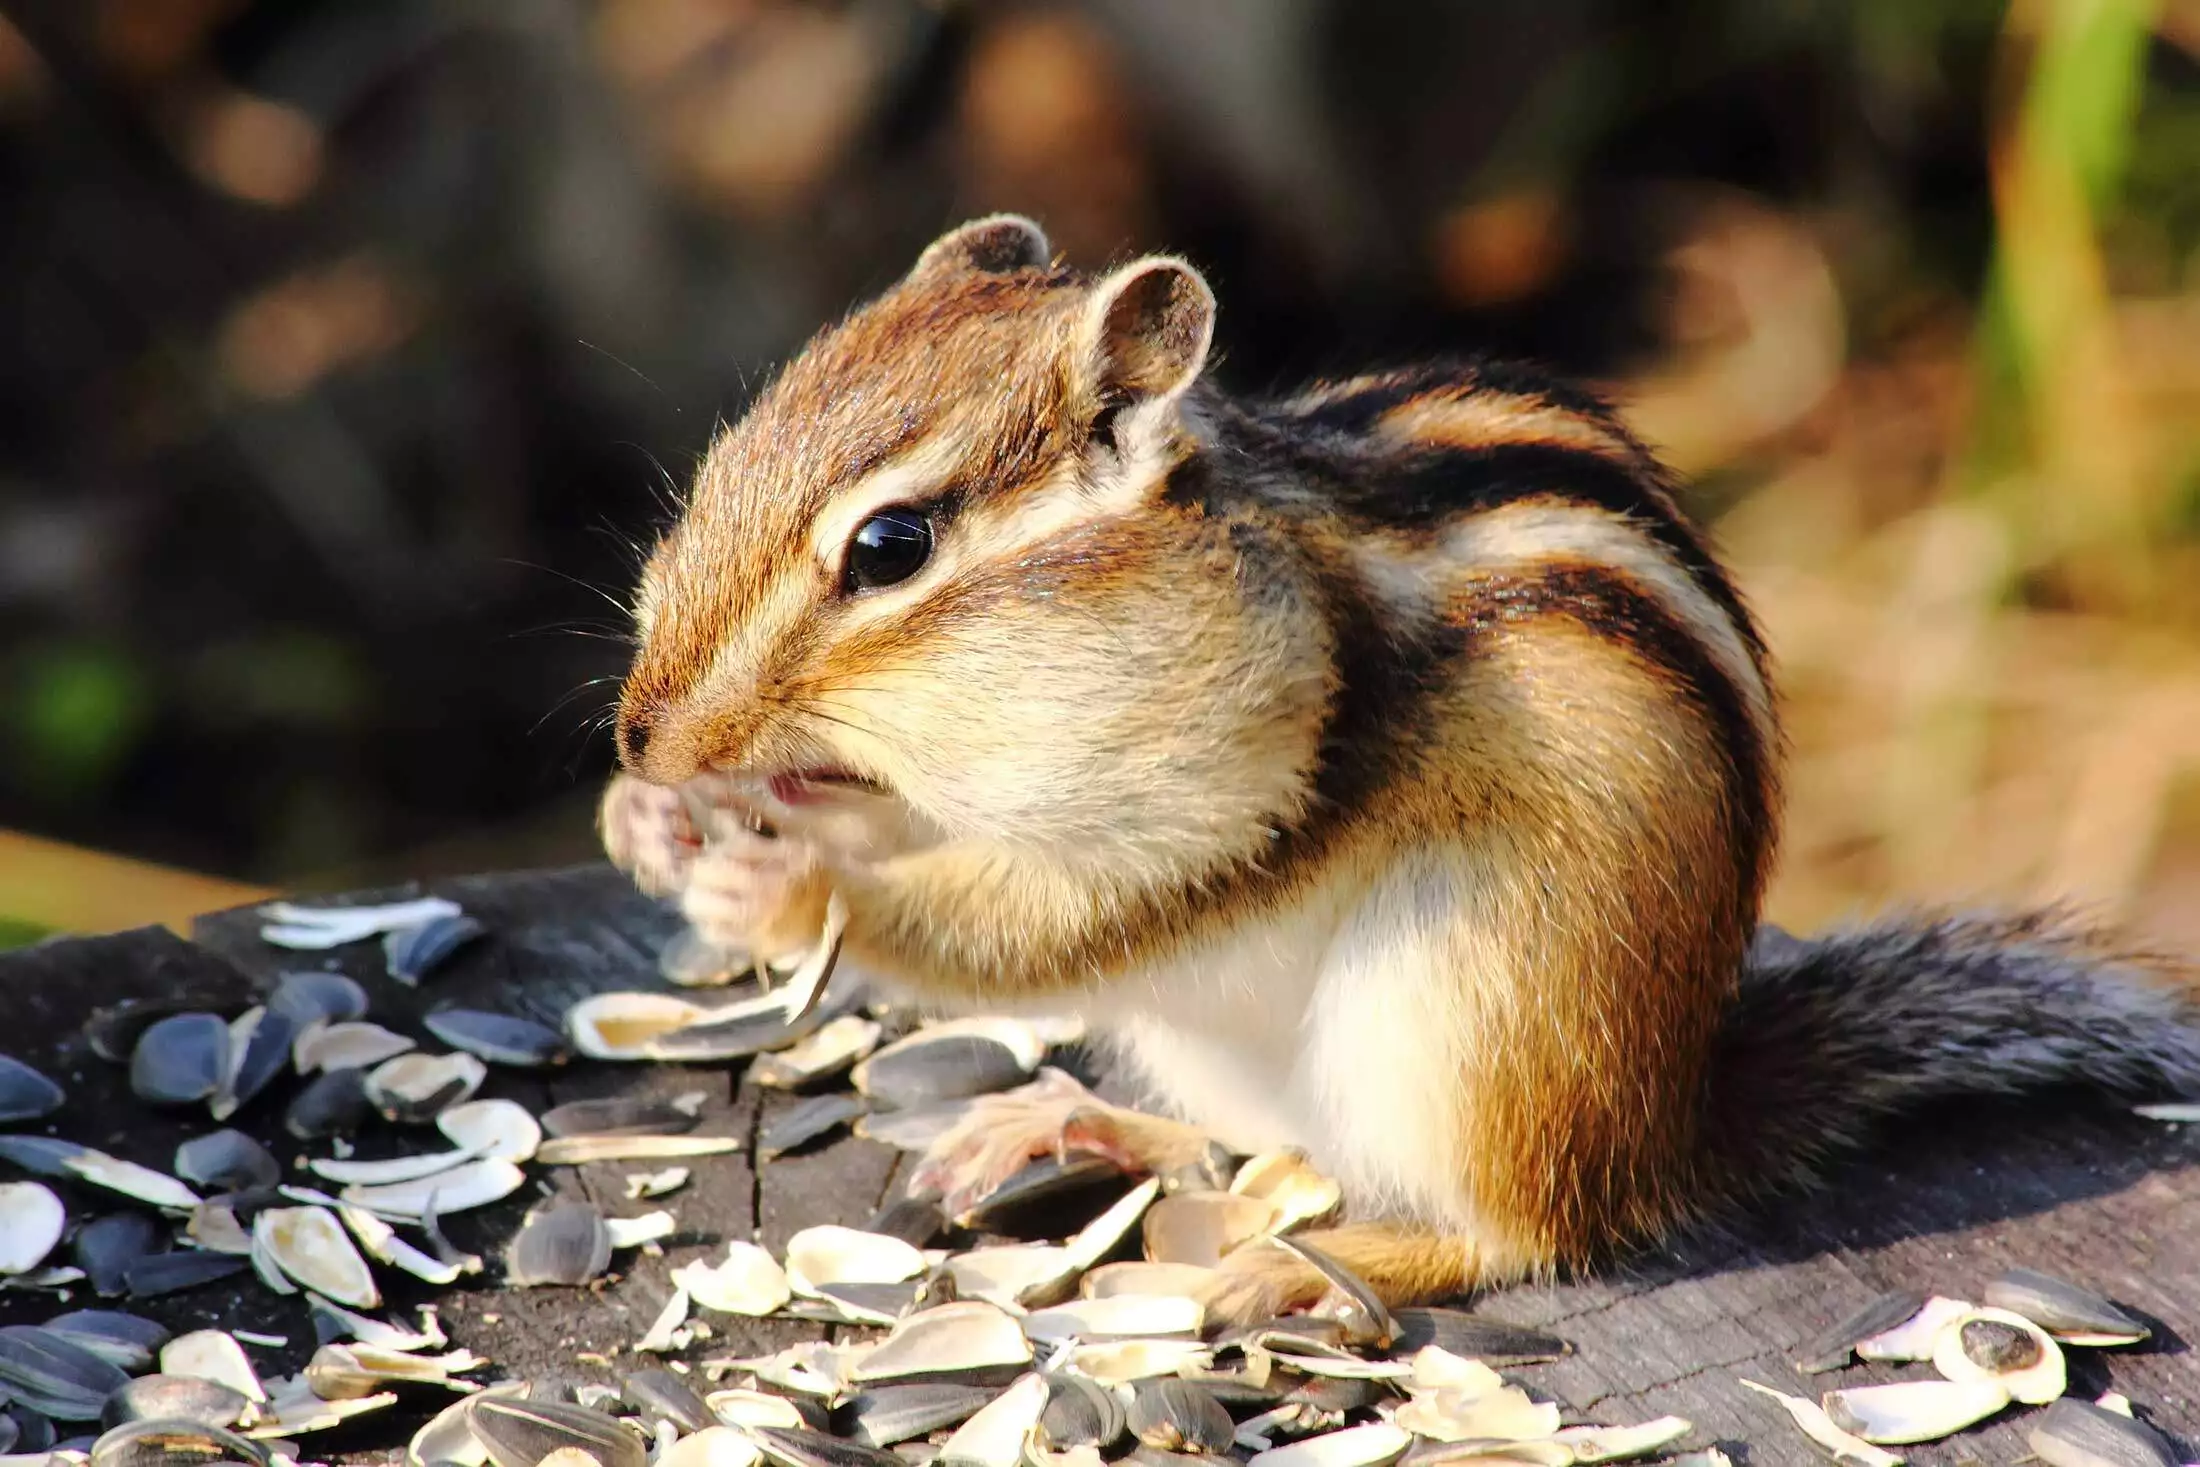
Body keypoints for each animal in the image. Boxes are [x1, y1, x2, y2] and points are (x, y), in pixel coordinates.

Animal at [596, 215, 2200, 1324]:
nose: (641, 734)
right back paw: (1066, 1116)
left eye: (891, 546)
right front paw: (651, 822)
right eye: (725, 460)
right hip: (1230, 1041)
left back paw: (1305, 1268)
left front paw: (788, 896)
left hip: (1469, 1016)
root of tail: (1674, 1126)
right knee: (1242, 1143)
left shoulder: (1231, 789)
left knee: (1516, 1232)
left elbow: (1040, 918)